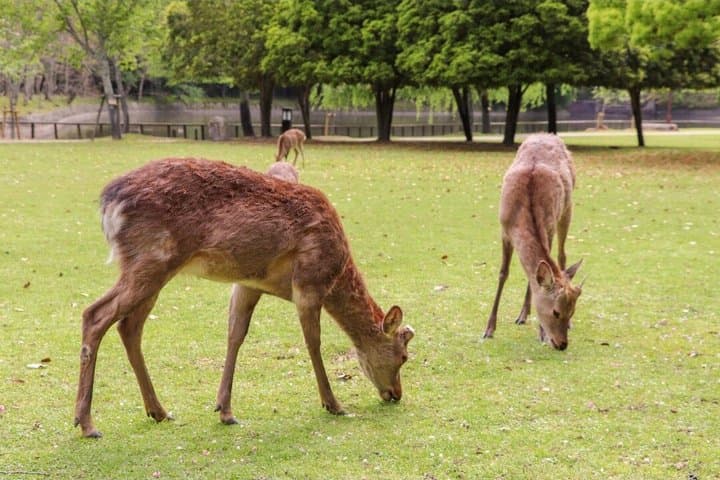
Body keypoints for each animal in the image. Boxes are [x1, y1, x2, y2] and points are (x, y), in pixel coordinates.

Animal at [74, 157, 414, 438]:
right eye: (404, 356)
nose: (396, 394)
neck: (337, 272)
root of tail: (108, 202)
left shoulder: (248, 282)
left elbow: (235, 333)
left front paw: (225, 410)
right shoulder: (308, 282)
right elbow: (313, 342)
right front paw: (334, 404)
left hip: (152, 270)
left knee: (129, 326)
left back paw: (158, 411)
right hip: (152, 260)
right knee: (95, 314)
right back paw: (87, 424)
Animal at [483, 133, 583, 350]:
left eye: (572, 311)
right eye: (555, 311)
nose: (562, 344)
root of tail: (549, 134)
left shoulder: (549, 227)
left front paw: (542, 333)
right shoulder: (504, 230)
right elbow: (503, 273)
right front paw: (489, 329)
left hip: (568, 209)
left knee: (562, 256)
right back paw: (522, 316)